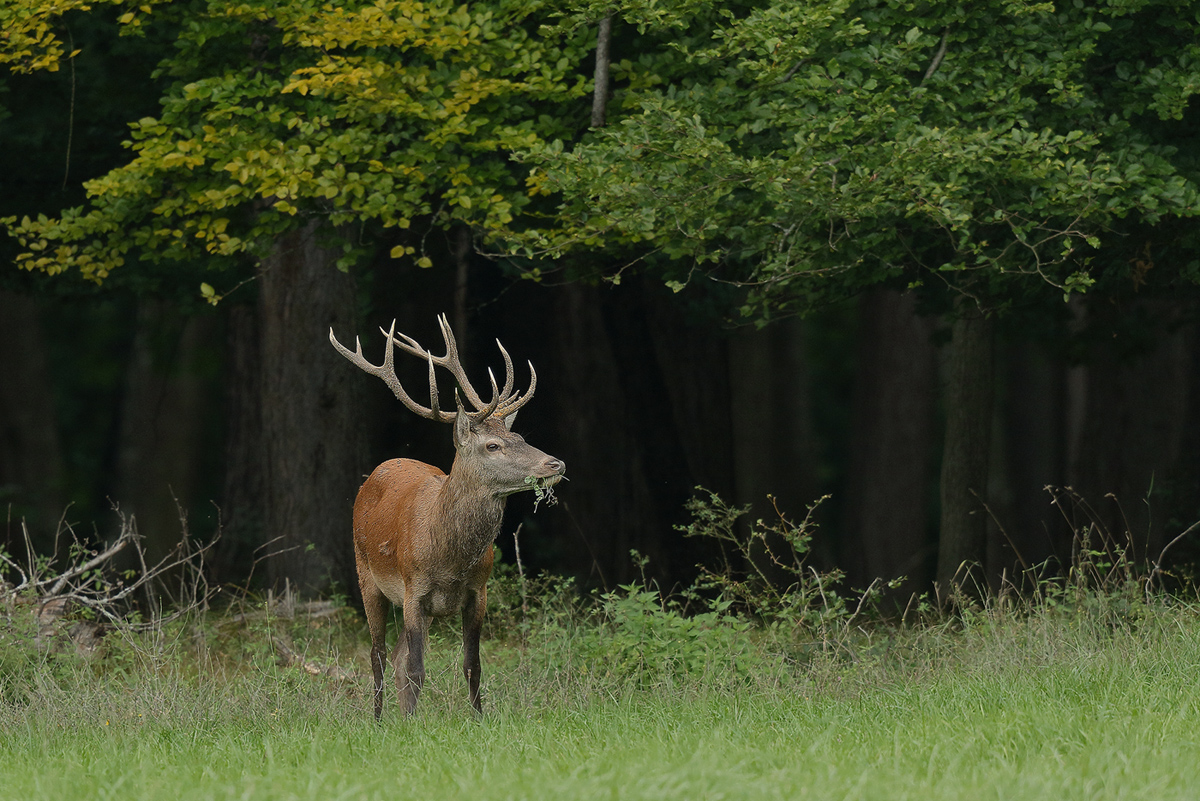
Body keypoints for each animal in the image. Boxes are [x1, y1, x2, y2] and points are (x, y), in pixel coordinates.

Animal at [328, 314, 566, 719]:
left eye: (519, 437)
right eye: (492, 445)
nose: (556, 463)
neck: (450, 559)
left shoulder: (478, 592)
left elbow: (472, 664)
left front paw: (478, 719)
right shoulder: (413, 589)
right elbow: (416, 668)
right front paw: (410, 725)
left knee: (395, 656)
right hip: (366, 574)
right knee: (378, 655)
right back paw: (378, 720)